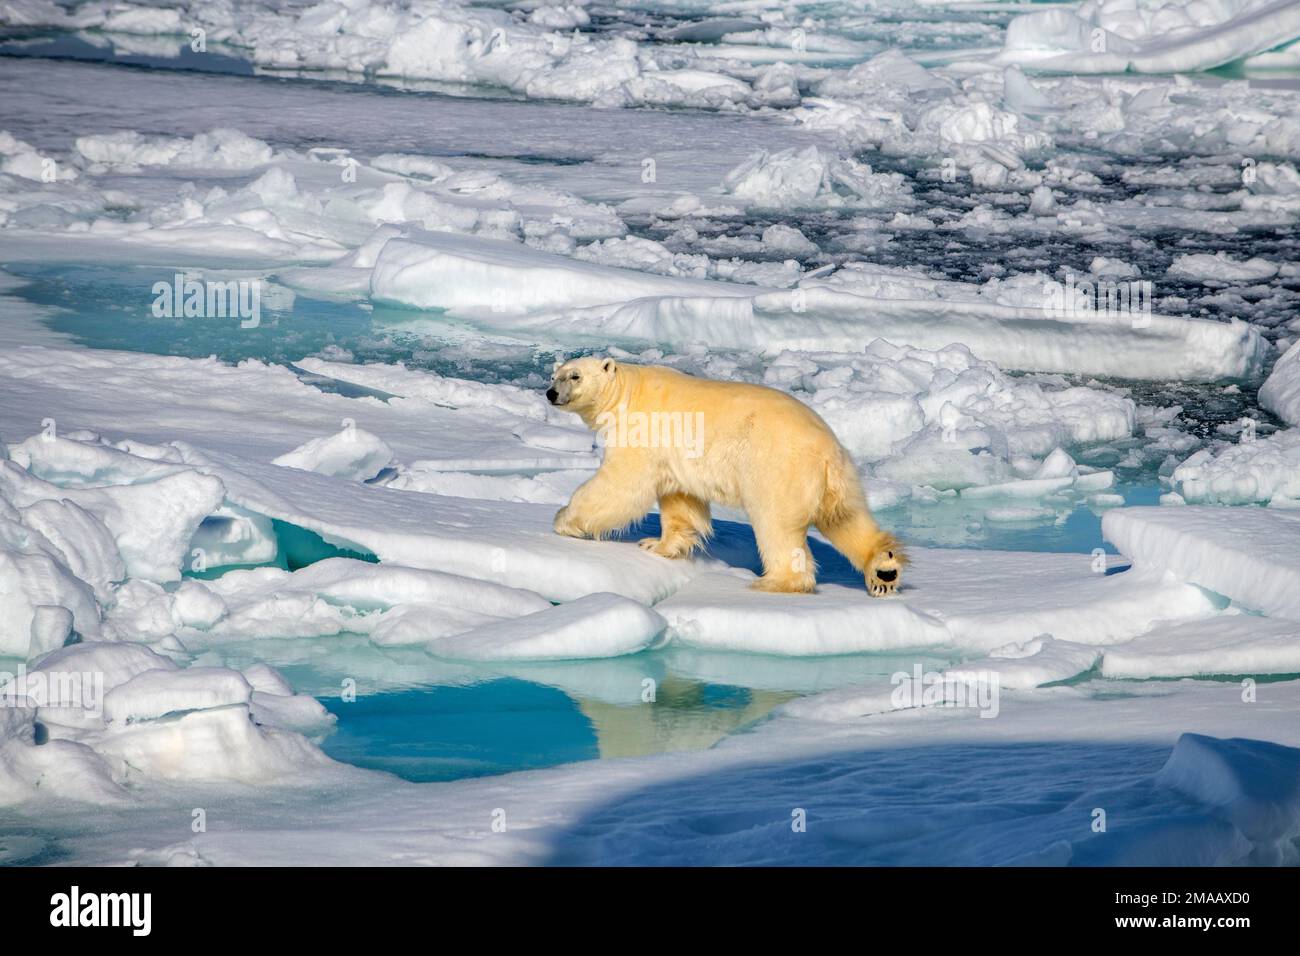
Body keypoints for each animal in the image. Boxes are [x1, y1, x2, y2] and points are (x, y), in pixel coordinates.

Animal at [546, 358, 904, 598]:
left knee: (777, 525)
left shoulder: (643, 430)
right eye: (554, 374)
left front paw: (564, 520)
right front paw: (657, 545)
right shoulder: (675, 456)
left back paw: (774, 581)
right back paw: (884, 570)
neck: (626, 392)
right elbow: (680, 501)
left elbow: (622, 484)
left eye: (574, 376)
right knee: (845, 518)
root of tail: (827, 448)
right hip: (839, 480)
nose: (550, 392)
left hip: (778, 468)